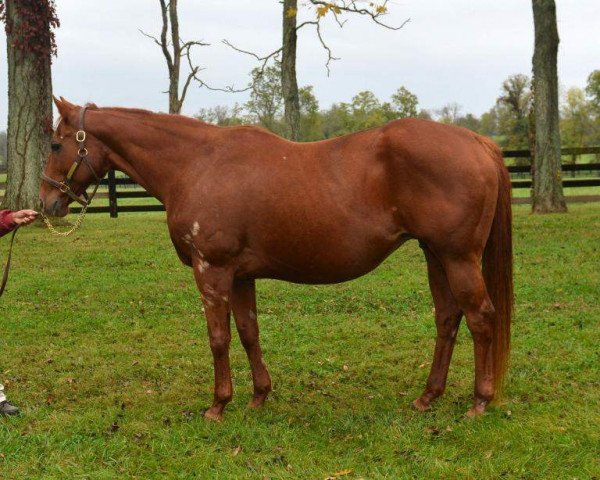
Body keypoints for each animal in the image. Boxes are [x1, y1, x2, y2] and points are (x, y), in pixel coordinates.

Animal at [39, 98, 512, 420]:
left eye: (57, 144)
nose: (46, 203)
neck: (197, 164)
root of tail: (478, 142)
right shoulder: (240, 275)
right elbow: (249, 333)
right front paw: (258, 396)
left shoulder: (212, 271)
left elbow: (219, 338)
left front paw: (218, 405)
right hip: (435, 256)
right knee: (447, 319)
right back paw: (428, 396)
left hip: (458, 258)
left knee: (481, 319)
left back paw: (479, 401)